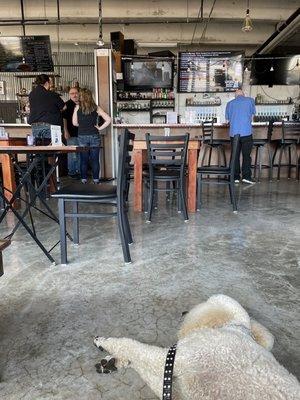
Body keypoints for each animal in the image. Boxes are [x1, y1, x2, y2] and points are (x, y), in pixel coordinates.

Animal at [94, 294, 300, 400]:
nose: (184, 312)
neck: (234, 327)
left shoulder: (174, 361)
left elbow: (133, 347)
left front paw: (104, 342)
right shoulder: (179, 393)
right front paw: (113, 361)